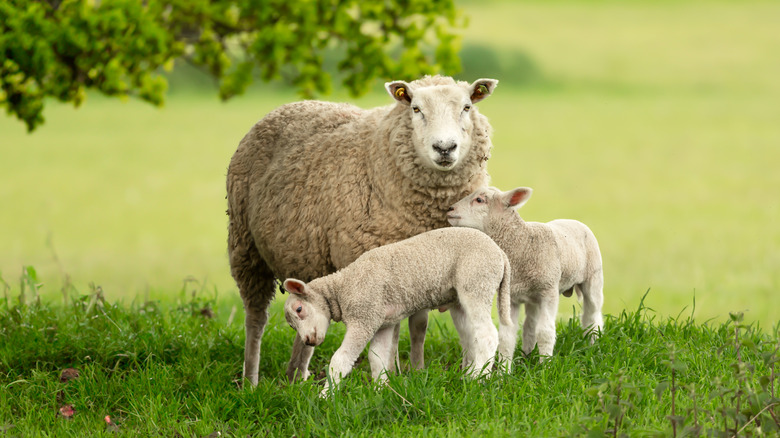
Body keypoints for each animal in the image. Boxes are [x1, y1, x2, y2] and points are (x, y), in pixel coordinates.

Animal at [227, 75, 499, 385]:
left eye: (467, 106)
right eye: (416, 108)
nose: (444, 148)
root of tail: (292, 104)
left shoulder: (423, 267)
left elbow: (418, 325)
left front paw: (416, 371)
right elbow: (391, 333)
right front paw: (392, 375)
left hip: (307, 259)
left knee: (307, 310)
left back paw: (296, 374)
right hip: (245, 247)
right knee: (255, 318)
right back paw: (250, 381)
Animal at [280, 227, 513, 396]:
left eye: (299, 309)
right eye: (291, 325)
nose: (309, 341)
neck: (342, 289)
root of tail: (500, 254)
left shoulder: (364, 318)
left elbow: (340, 360)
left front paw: (325, 396)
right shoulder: (383, 322)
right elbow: (377, 358)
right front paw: (380, 391)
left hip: (476, 282)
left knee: (487, 335)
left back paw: (478, 378)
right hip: (462, 297)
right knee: (478, 336)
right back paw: (475, 374)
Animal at [446, 186, 604, 364]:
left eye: (479, 200)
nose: (450, 209)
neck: (524, 244)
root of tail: (574, 220)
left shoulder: (549, 291)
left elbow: (545, 332)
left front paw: (546, 365)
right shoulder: (510, 297)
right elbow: (507, 337)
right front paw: (504, 369)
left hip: (593, 278)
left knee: (592, 314)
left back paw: (593, 344)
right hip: (532, 297)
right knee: (530, 325)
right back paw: (527, 355)